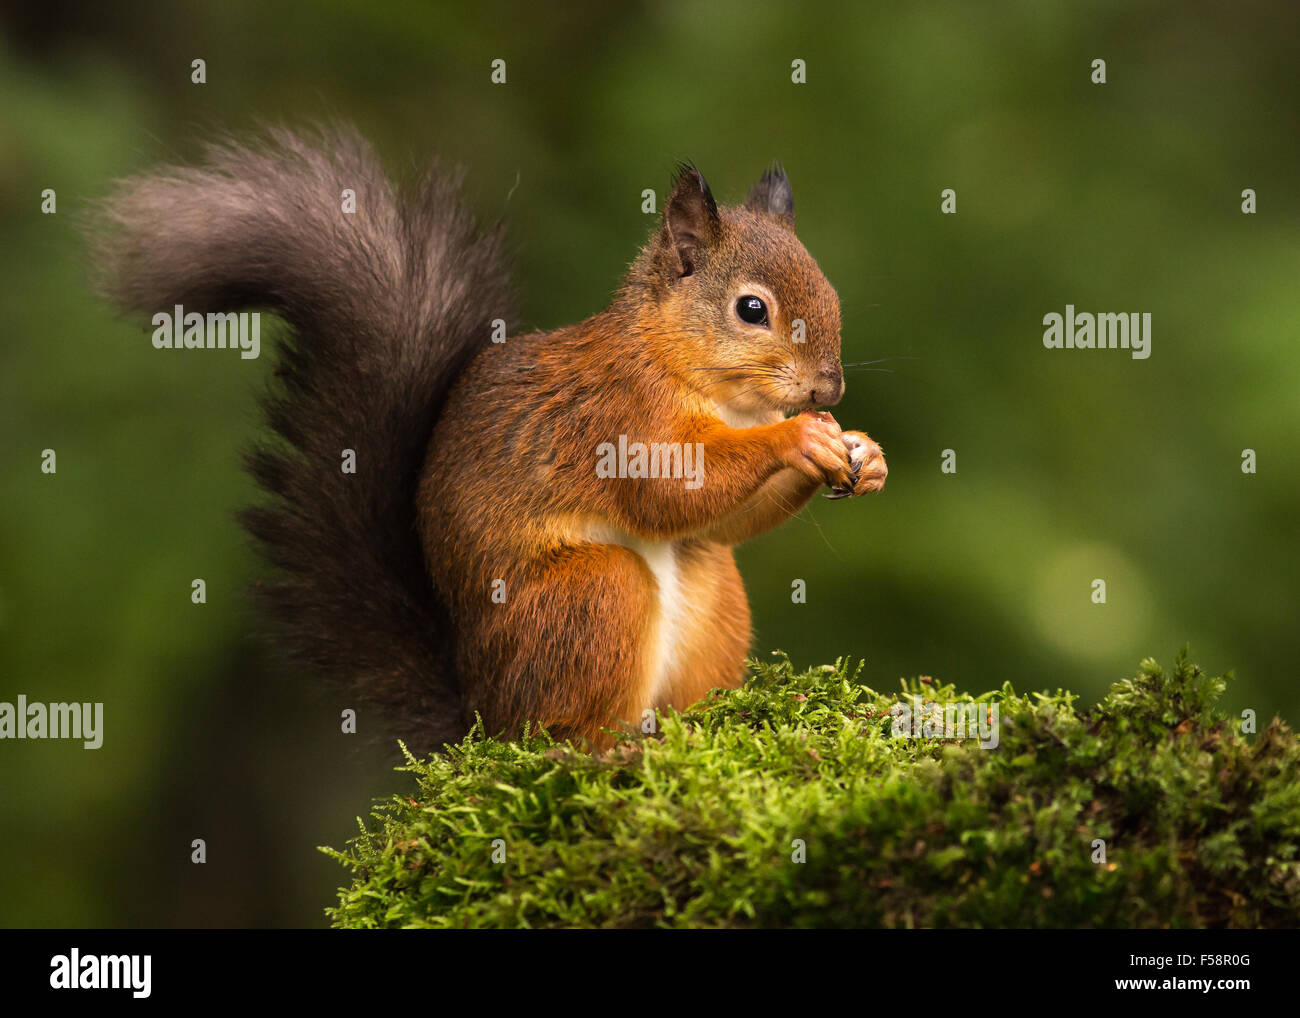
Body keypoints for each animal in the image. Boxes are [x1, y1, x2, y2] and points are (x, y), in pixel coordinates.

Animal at [91, 125, 883, 748]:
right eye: (752, 309)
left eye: (834, 296)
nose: (829, 391)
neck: (706, 384)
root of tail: (482, 713)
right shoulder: (617, 418)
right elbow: (671, 491)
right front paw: (799, 439)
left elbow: (723, 521)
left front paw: (862, 455)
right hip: (590, 599)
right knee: (563, 729)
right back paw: (607, 748)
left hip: (711, 590)